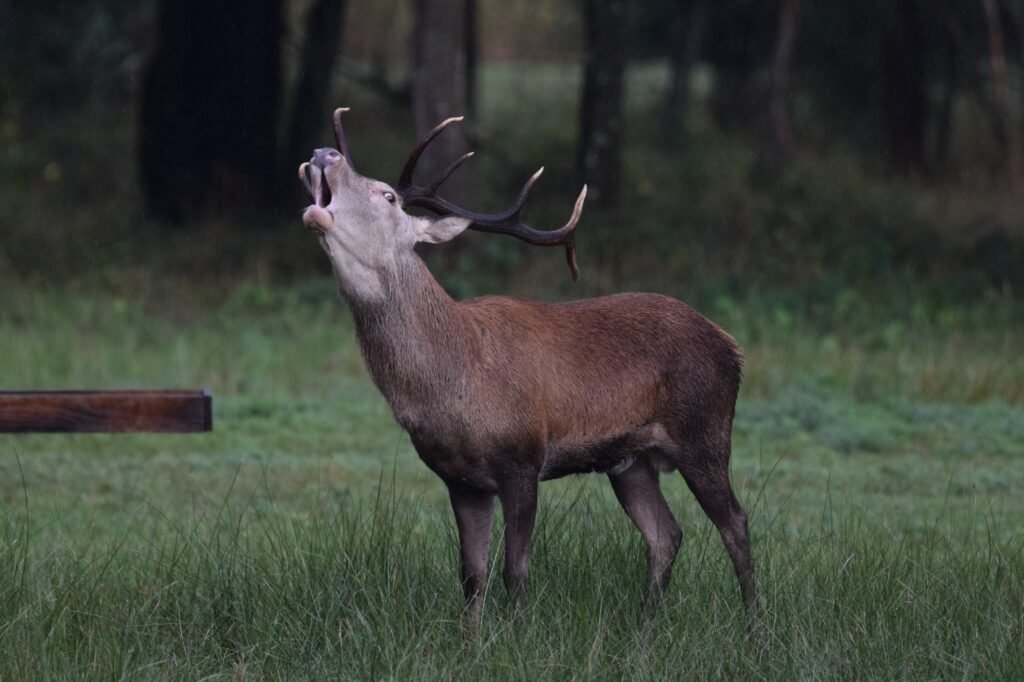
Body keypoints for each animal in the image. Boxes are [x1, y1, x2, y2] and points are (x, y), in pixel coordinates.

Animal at [298, 108, 756, 625]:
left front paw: (516, 635)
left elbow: (515, 572)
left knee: (735, 522)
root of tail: (731, 346)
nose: (323, 153)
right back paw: (644, 627)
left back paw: (754, 626)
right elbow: (471, 576)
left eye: (387, 195)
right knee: (666, 534)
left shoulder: (523, 457)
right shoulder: (460, 478)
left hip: (705, 431)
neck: (456, 379)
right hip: (630, 460)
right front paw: (471, 639)